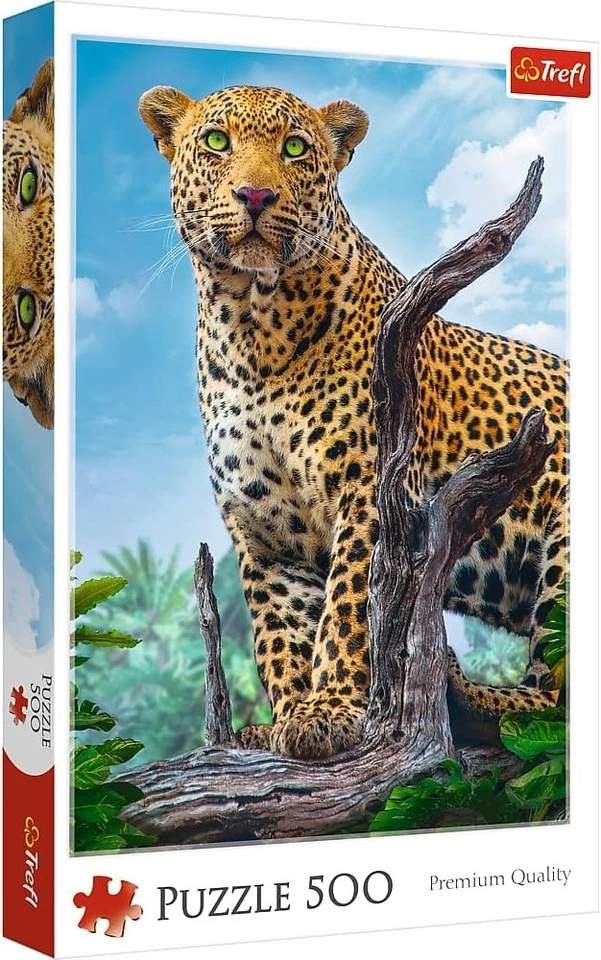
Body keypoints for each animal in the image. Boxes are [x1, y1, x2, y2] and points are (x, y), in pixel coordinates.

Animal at [139, 82, 567, 759]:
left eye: (294, 148)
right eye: (216, 141)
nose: (255, 196)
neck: (252, 325)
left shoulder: (371, 492)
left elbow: (349, 606)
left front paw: (333, 709)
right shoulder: (264, 530)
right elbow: (280, 632)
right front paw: (286, 719)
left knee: (555, 697)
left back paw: (464, 694)